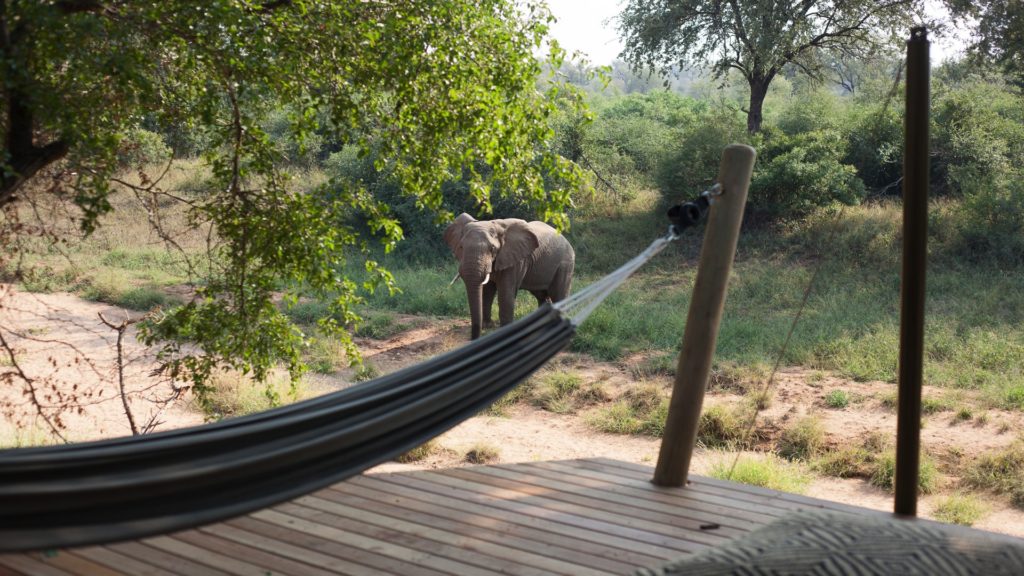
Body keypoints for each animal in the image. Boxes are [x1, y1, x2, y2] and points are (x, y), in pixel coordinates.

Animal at [444, 213, 575, 340]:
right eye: (461, 247)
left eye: (492, 249)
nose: (474, 338)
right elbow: (487, 291)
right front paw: (487, 326)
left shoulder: (516, 260)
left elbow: (506, 292)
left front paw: (505, 330)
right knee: (541, 295)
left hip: (565, 264)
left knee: (558, 294)